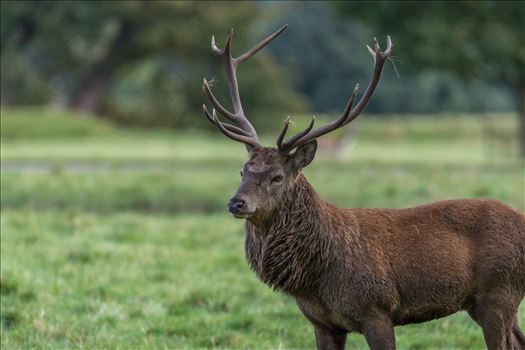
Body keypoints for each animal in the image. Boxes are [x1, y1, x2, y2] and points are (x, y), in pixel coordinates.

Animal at [201, 25, 524, 350]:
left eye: (277, 177)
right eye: (242, 171)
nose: (236, 202)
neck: (316, 279)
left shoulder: (377, 308)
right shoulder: (321, 321)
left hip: (499, 291)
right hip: (481, 301)